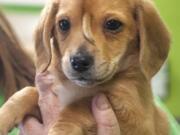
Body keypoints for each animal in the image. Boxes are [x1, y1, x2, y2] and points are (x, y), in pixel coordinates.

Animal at [0, 0, 170, 134]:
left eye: (113, 24)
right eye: (63, 24)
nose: (79, 62)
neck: (77, 87)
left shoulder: (134, 117)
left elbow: (80, 105)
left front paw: (60, 129)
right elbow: (27, 92)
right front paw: (4, 116)